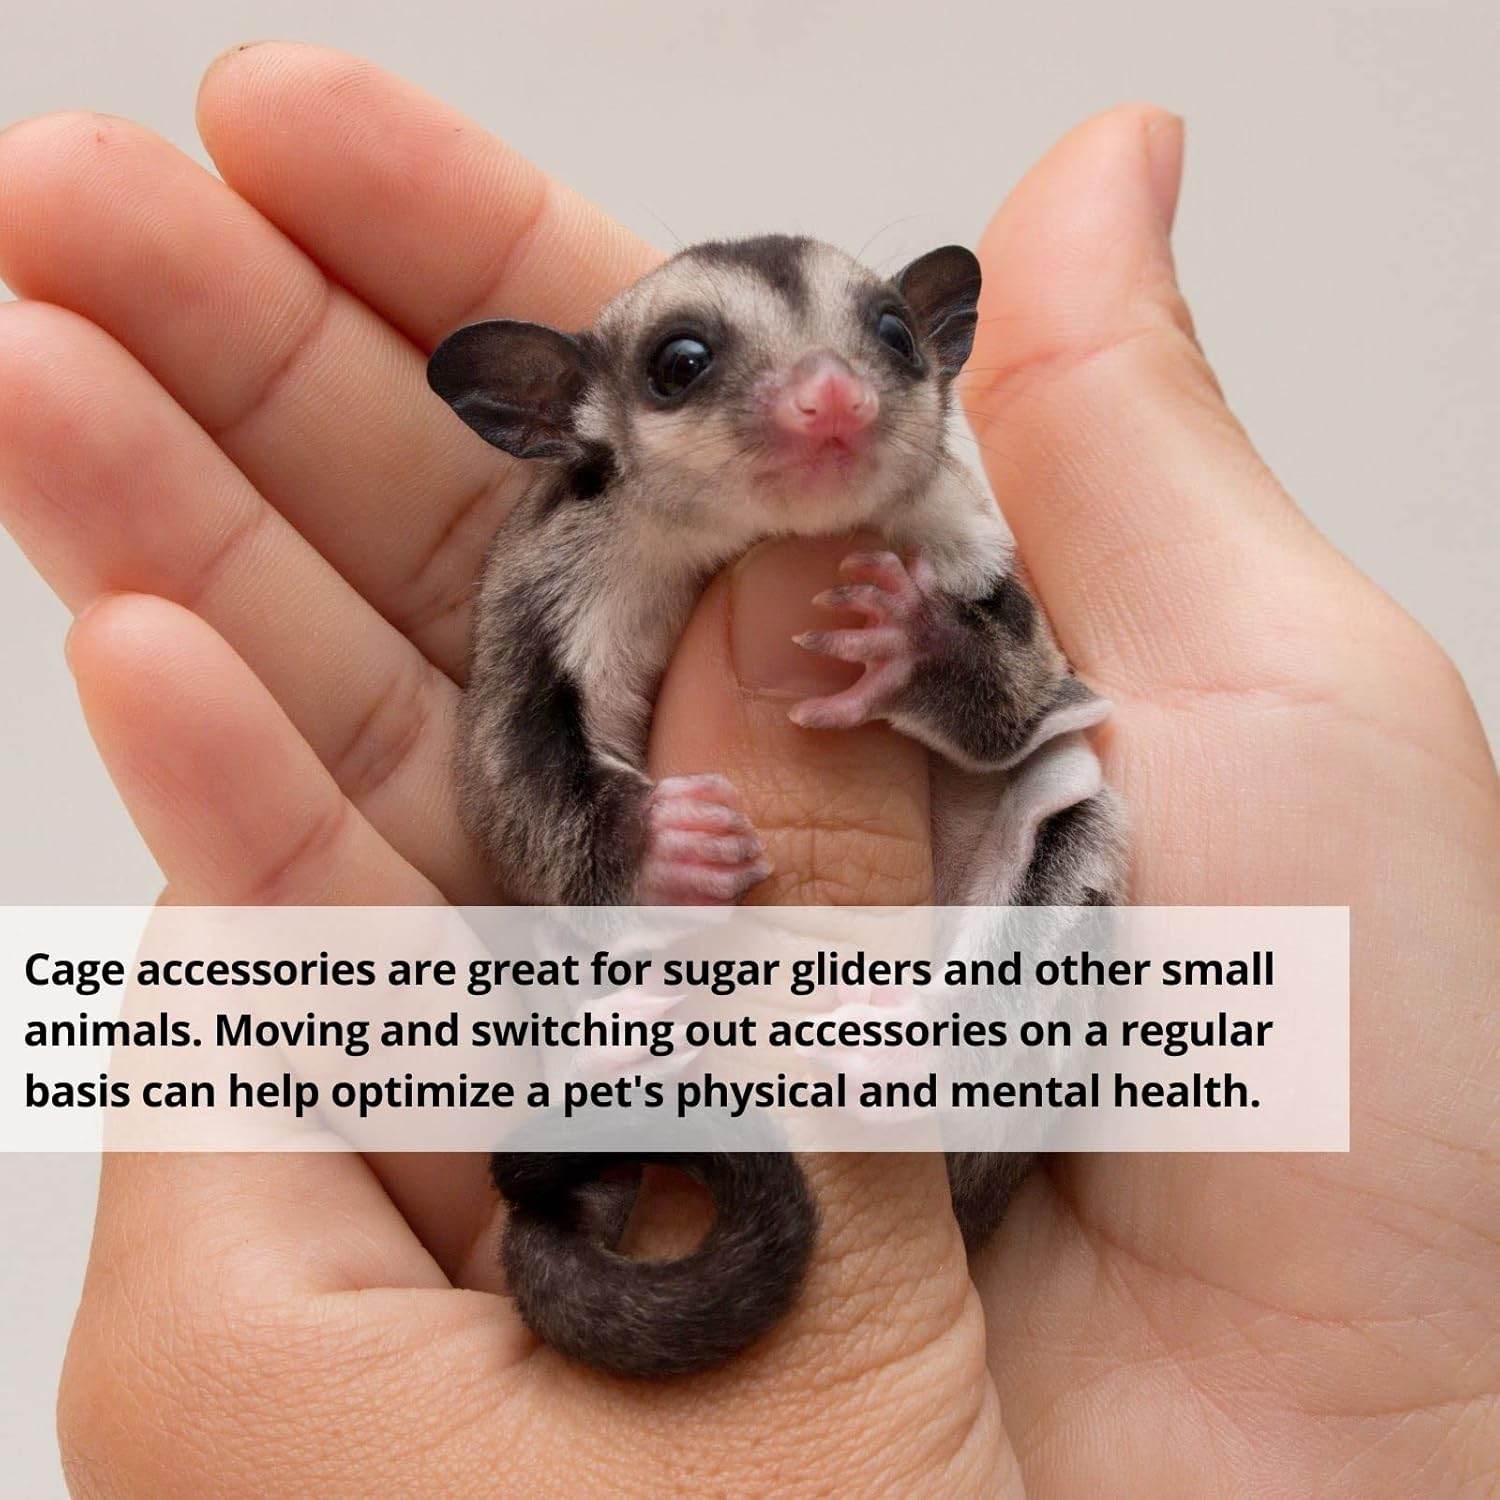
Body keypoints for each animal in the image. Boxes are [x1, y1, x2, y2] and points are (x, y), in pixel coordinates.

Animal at [428, 234, 1126, 1377]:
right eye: (679, 363)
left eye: (893, 332)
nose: (833, 396)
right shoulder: (550, 585)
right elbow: (506, 769)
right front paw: (663, 848)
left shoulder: (975, 544)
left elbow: (1024, 695)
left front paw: (912, 649)